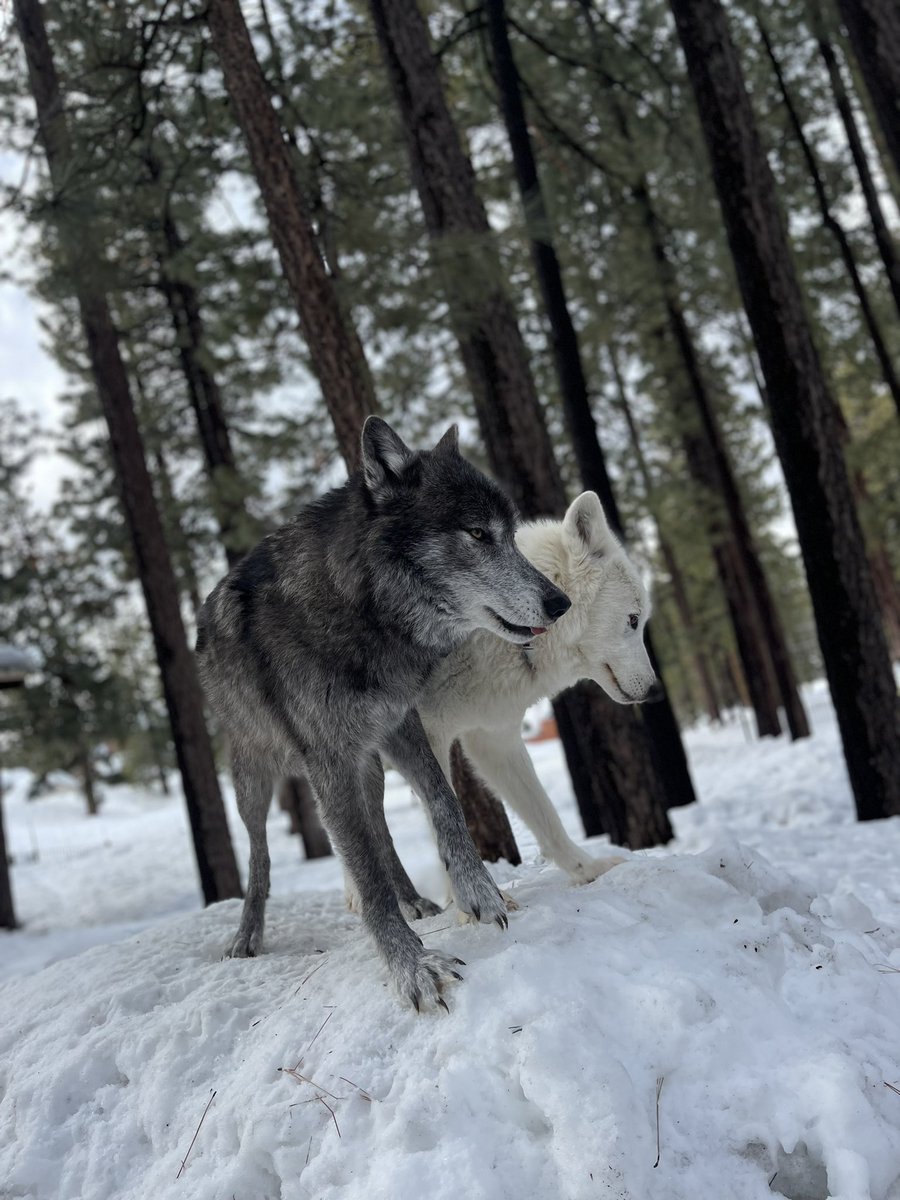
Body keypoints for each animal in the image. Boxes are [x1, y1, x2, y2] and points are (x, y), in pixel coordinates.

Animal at [196, 417, 571, 1010]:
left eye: (512, 535)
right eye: (477, 534)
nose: (561, 603)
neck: (360, 612)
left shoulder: (398, 724)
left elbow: (444, 802)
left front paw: (479, 891)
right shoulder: (328, 761)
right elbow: (367, 879)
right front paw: (412, 967)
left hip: (367, 766)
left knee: (379, 830)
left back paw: (415, 899)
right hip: (254, 779)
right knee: (260, 856)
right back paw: (247, 934)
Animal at [345, 490, 657, 914]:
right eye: (633, 619)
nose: (655, 690)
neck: (496, 637)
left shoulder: (495, 739)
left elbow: (546, 816)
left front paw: (588, 870)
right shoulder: (429, 734)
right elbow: (445, 815)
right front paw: (468, 909)